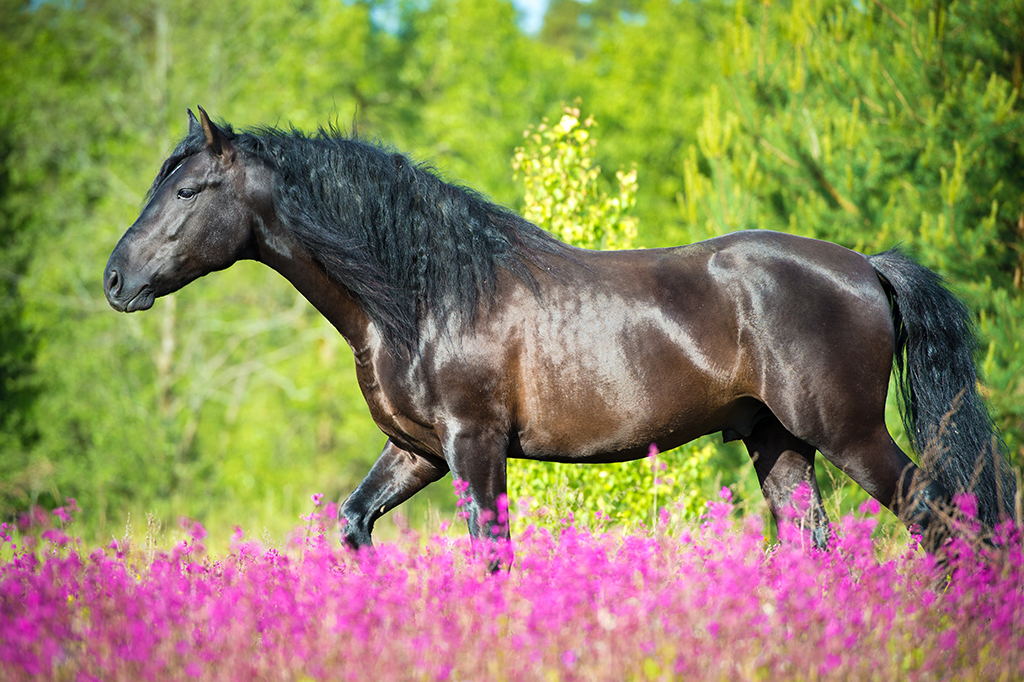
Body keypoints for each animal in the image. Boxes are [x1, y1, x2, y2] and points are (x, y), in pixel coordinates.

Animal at [103, 107, 1015, 552]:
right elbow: (356, 524)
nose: (116, 280)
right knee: (814, 542)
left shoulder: (474, 445)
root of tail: (865, 265)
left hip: (851, 435)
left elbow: (490, 554)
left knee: (940, 518)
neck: (426, 292)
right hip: (778, 442)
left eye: (188, 191)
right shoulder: (416, 451)